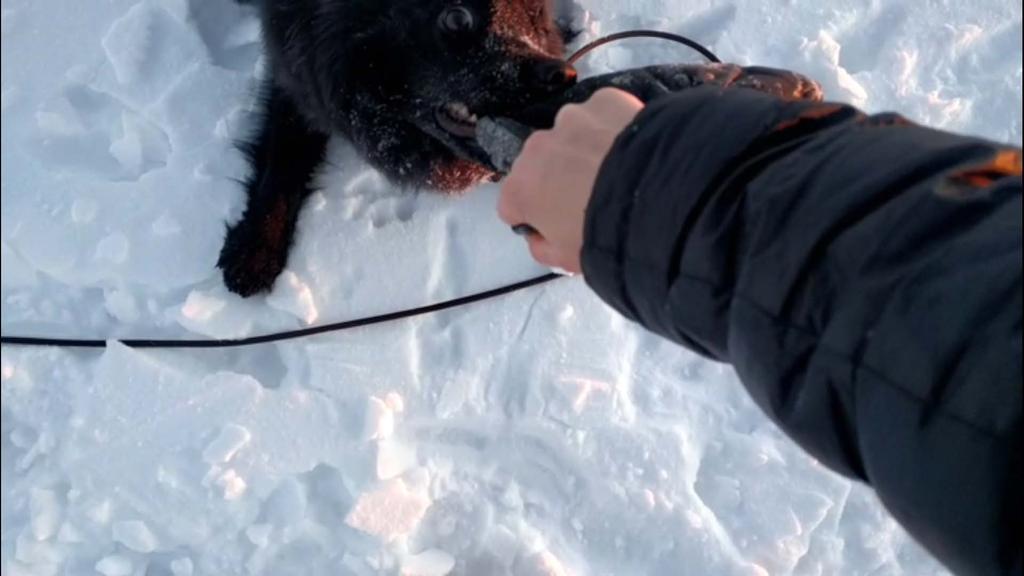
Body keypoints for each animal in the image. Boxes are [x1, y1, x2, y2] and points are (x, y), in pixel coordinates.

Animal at [217, 0, 581, 293]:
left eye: (533, 15)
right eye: (457, 17)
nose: (563, 75)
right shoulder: (297, 73)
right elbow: (283, 159)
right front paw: (255, 248)